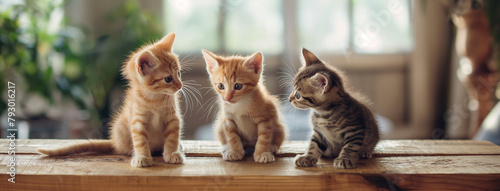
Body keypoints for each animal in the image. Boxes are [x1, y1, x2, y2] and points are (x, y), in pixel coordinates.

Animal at [37, 32, 186, 167]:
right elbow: (140, 140)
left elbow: (172, 137)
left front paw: (172, 153)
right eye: (168, 79)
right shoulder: (137, 120)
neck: (155, 98)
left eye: (178, 73)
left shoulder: (173, 118)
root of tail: (115, 142)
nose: (180, 85)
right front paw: (142, 156)